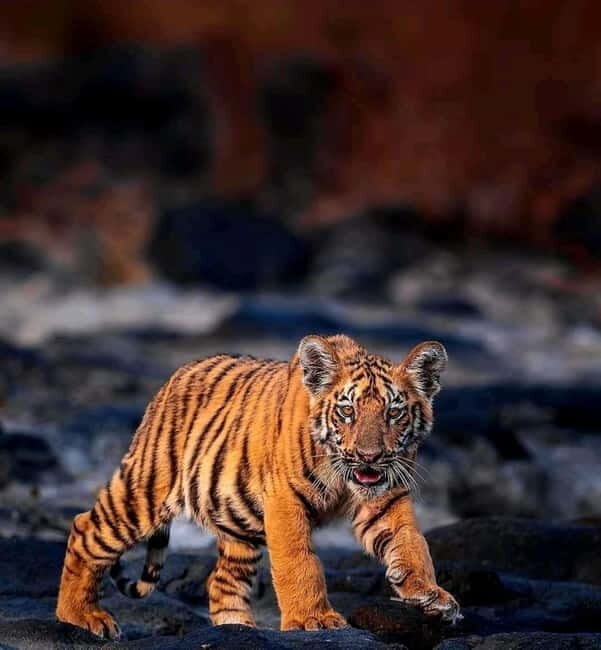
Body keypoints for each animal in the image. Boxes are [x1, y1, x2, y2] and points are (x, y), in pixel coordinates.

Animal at [56, 334, 460, 638]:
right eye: (348, 411)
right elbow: (298, 562)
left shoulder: (386, 497)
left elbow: (411, 544)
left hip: (240, 528)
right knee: (85, 529)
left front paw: (431, 596)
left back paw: (239, 630)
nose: (369, 456)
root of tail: (176, 375)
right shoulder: (285, 500)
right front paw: (313, 620)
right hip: (143, 492)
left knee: (221, 583)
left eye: (395, 412)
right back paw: (80, 617)